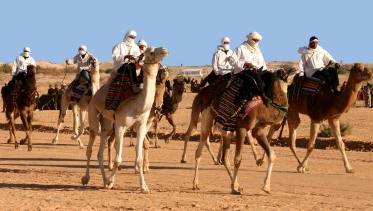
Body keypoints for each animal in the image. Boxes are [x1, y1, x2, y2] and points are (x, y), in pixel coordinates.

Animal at [82, 46, 169, 193]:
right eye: (151, 52)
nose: (164, 50)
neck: (139, 104)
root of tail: (95, 95)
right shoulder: (121, 126)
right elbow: (118, 159)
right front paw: (111, 181)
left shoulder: (141, 126)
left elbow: (139, 158)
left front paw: (144, 187)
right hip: (93, 113)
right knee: (90, 147)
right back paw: (86, 178)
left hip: (107, 124)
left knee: (100, 151)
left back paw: (104, 181)